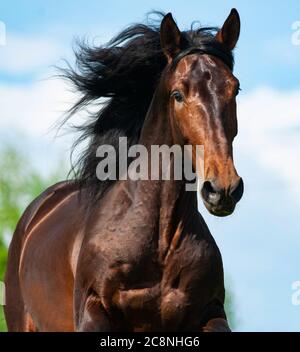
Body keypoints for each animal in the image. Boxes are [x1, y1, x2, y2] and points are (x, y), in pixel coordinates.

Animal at [4, 8, 244, 332]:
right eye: (178, 94)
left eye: (235, 89)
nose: (222, 189)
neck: (159, 243)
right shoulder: (94, 311)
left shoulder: (211, 312)